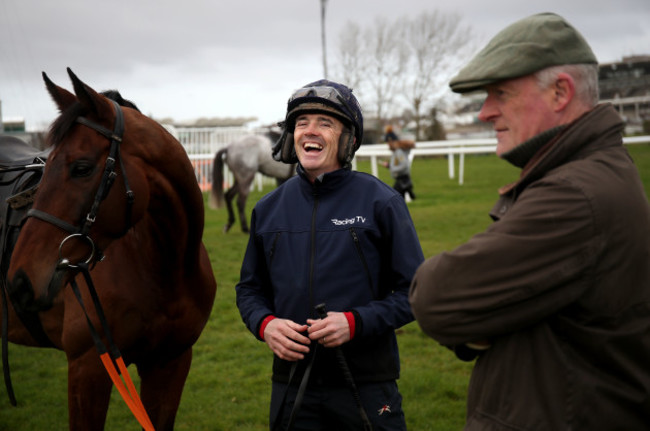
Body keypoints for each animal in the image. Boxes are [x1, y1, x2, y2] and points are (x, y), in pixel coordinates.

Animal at [3, 69, 218, 430]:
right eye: (47, 166)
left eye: (82, 168)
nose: (19, 280)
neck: (164, 268)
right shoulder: (88, 368)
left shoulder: (170, 363)